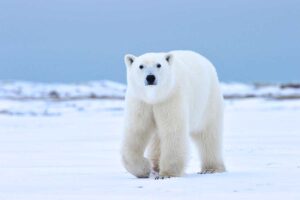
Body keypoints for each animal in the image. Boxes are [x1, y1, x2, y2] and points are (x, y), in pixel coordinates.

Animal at [122, 50, 225, 178]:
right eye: (141, 66)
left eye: (159, 65)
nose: (150, 77)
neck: (155, 97)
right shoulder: (140, 102)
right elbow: (137, 131)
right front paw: (145, 168)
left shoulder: (171, 98)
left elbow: (172, 131)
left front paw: (166, 174)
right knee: (157, 138)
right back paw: (155, 166)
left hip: (208, 102)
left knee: (208, 135)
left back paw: (211, 169)